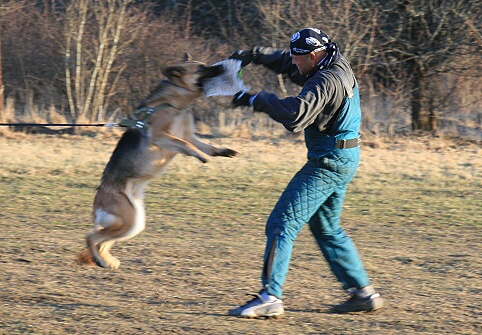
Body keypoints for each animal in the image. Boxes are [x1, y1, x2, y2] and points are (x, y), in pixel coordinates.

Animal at [77, 55, 237, 270]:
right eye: (201, 68)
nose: (222, 66)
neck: (175, 102)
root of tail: (101, 193)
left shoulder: (190, 136)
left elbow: (205, 145)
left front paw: (221, 151)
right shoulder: (161, 136)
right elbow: (185, 144)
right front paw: (200, 156)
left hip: (133, 224)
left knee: (102, 241)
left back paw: (107, 261)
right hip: (127, 222)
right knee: (91, 237)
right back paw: (100, 260)